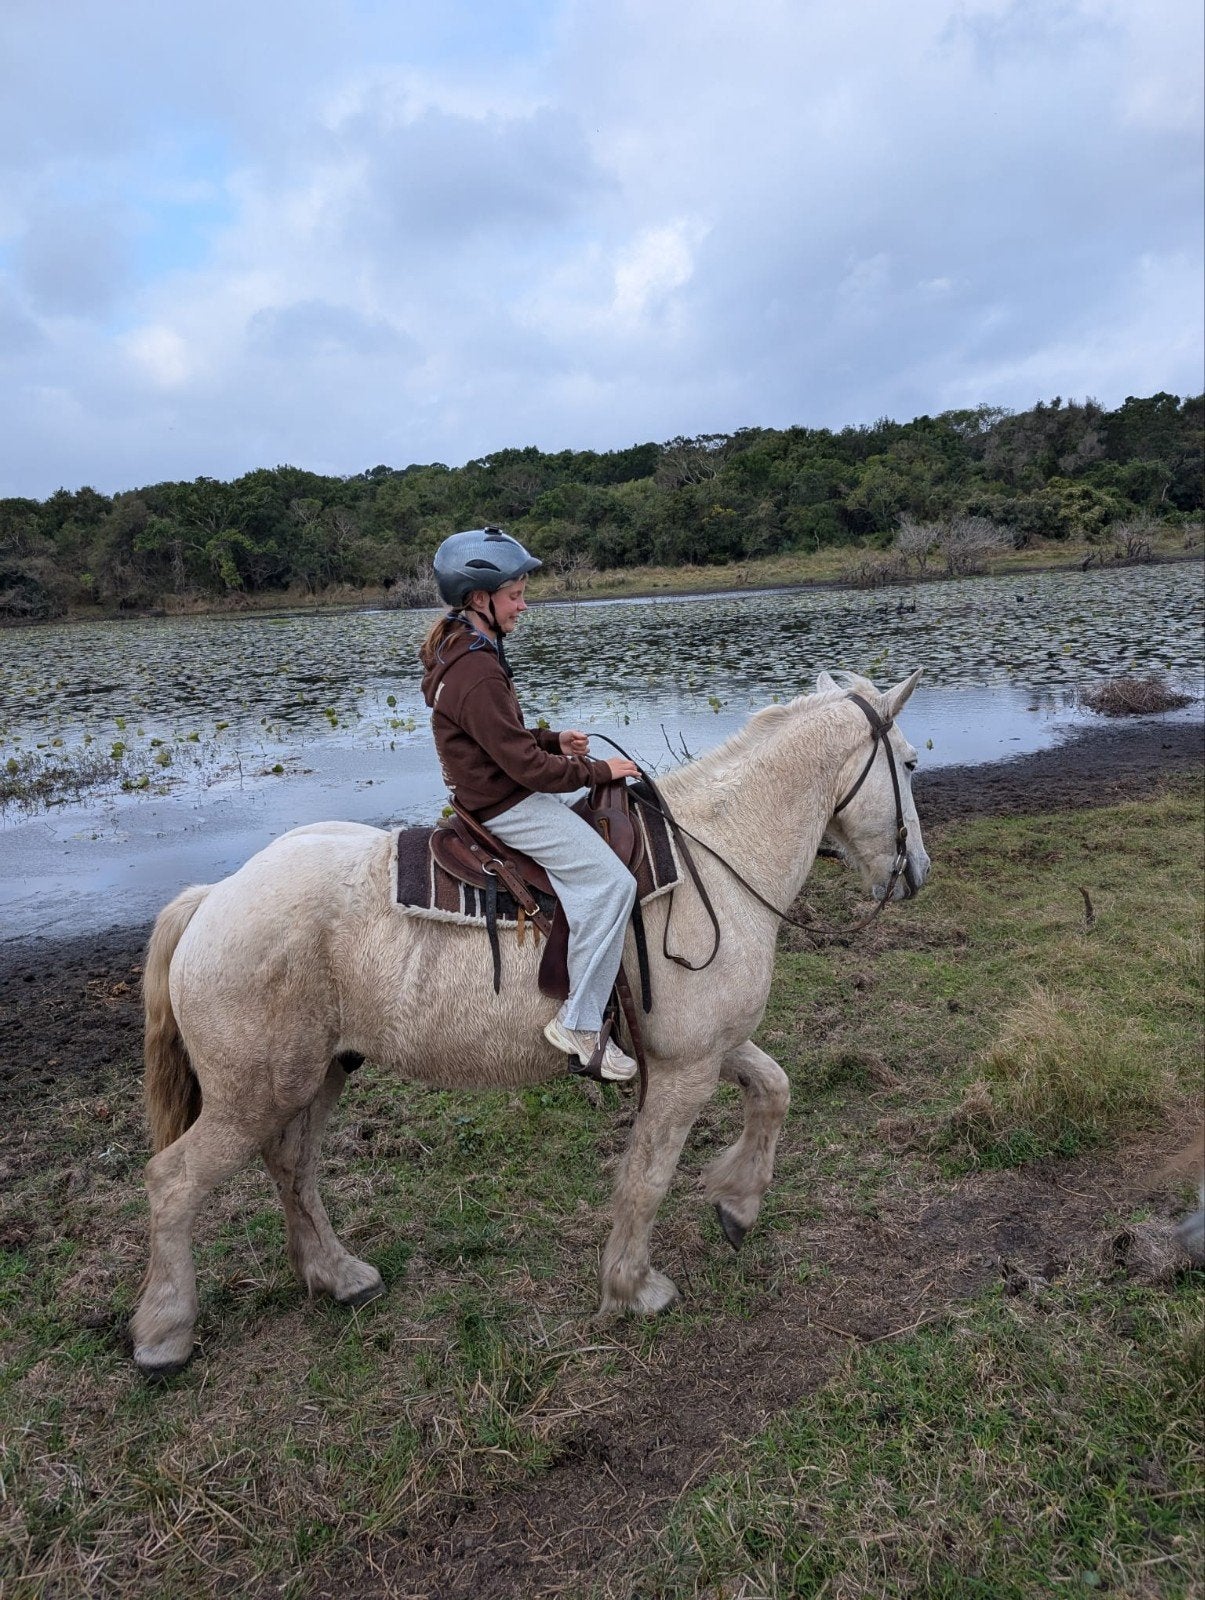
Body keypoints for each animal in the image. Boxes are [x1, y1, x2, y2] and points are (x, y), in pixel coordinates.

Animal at [130, 669, 931, 1375]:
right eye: (910, 762)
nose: (916, 872)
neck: (716, 857)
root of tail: (214, 898)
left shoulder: (700, 1048)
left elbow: (773, 1089)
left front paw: (737, 1205)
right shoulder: (685, 1069)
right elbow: (647, 1178)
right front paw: (633, 1288)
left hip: (315, 1077)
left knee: (291, 1165)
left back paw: (338, 1275)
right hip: (252, 1096)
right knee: (174, 1182)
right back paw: (164, 1338)